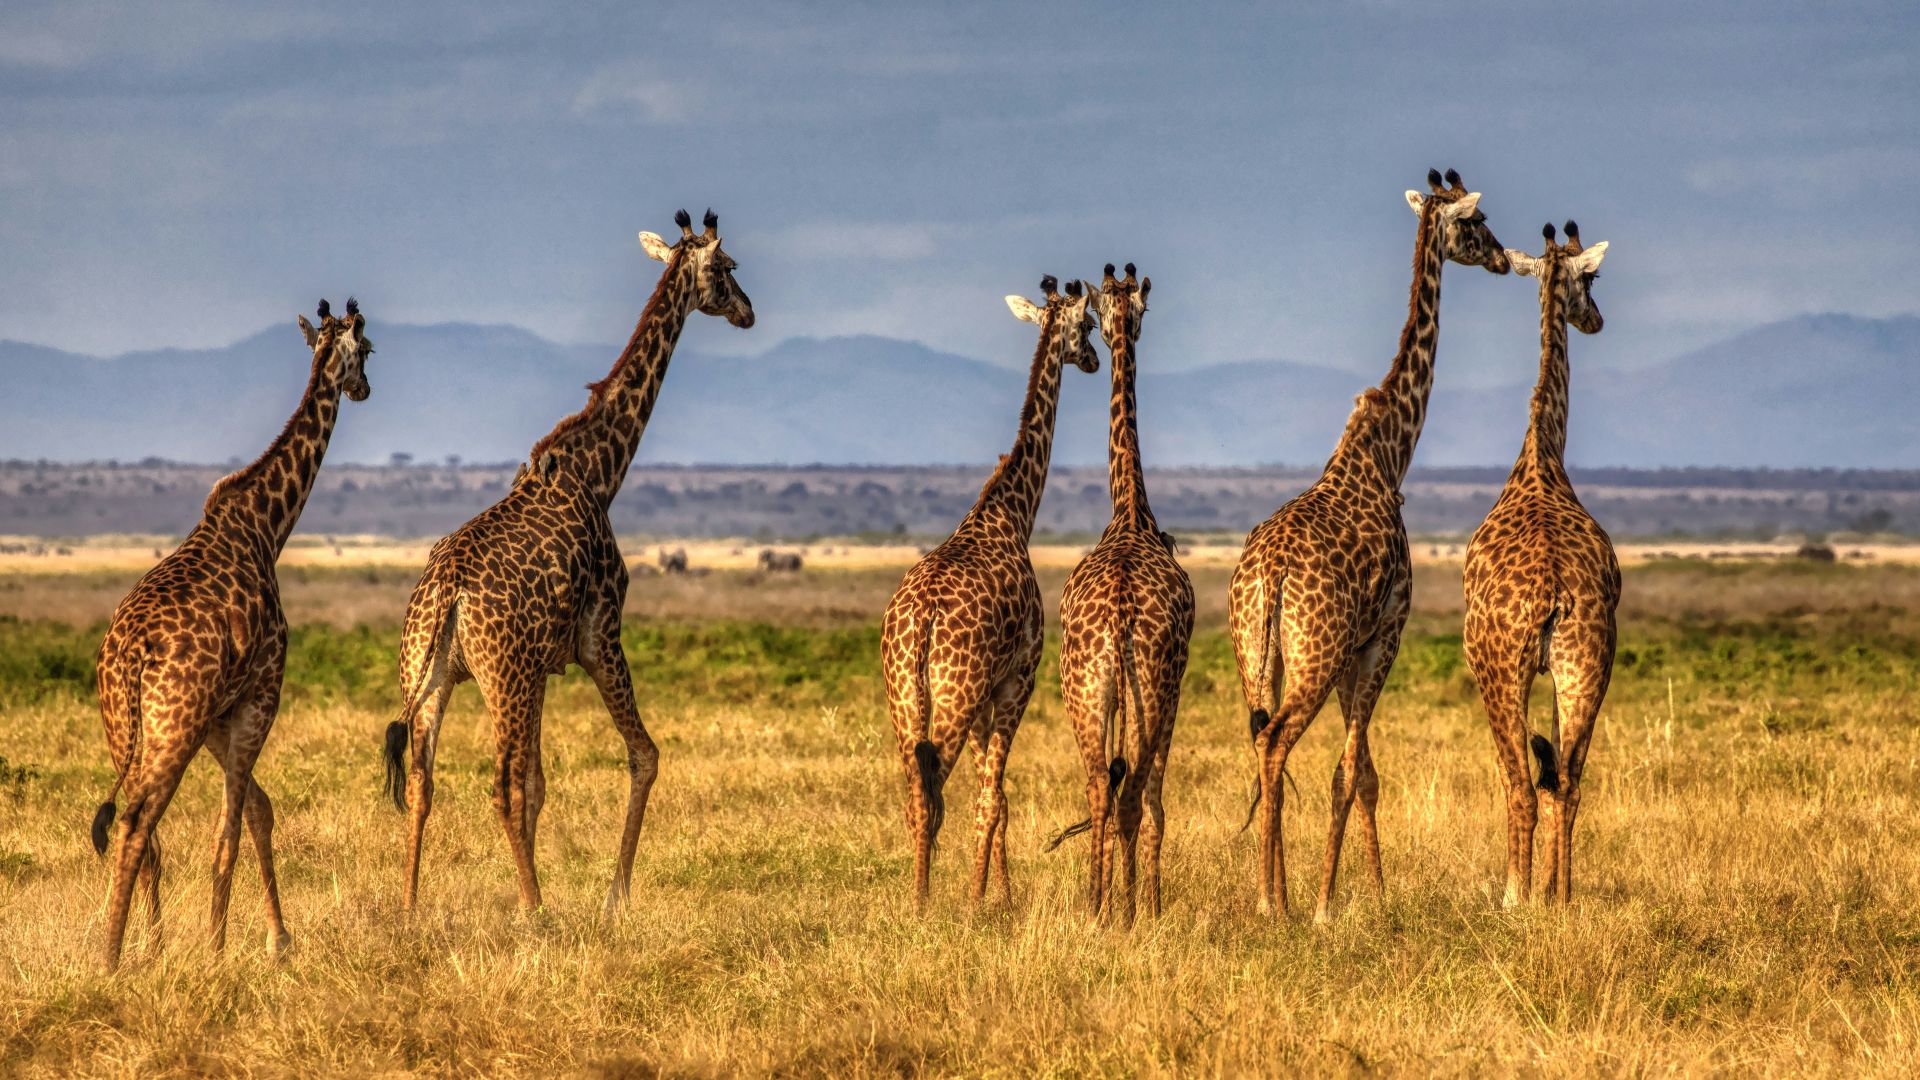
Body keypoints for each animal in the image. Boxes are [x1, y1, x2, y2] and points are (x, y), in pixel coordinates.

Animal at [90, 298, 377, 971]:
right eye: (371, 349)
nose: (365, 388)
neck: (268, 526)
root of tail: (129, 654)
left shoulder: (219, 714)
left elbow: (257, 811)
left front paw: (275, 939)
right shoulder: (261, 692)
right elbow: (230, 834)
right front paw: (219, 951)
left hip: (125, 726)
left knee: (145, 835)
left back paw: (147, 947)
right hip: (173, 723)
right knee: (137, 822)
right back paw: (111, 959)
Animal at [380, 210, 753, 916]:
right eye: (726, 269)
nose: (748, 312)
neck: (599, 472)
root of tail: (445, 597)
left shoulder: (544, 665)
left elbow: (541, 785)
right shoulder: (599, 634)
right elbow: (643, 756)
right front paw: (615, 897)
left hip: (433, 674)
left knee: (422, 780)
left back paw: (411, 906)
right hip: (501, 679)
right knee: (497, 784)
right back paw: (536, 910)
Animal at [881, 275, 1099, 911]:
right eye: (1088, 326)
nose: (1094, 360)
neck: (1011, 512)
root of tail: (921, 619)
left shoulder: (985, 697)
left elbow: (994, 798)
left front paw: (999, 892)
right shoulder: (1017, 679)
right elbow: (993, 798)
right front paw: (985, 900)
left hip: (905, 697)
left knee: (915, 794)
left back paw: (919, 897)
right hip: (953, 694)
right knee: (935, 789)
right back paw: (927, 902)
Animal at [1228, 169, 1509, 921]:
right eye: (1478, 223)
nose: (1505, 259)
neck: (1389, 452)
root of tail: (1267, 576)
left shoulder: (1356, 647)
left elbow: (1365, 773)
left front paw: (1369, 892)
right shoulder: (1386, 631)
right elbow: (1353, 771)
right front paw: (1340, 904)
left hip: (1258, 654)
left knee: (1262, 743)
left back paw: (1273, 894)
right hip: (1316, 654)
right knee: (1277, 743)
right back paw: (1275, 904)